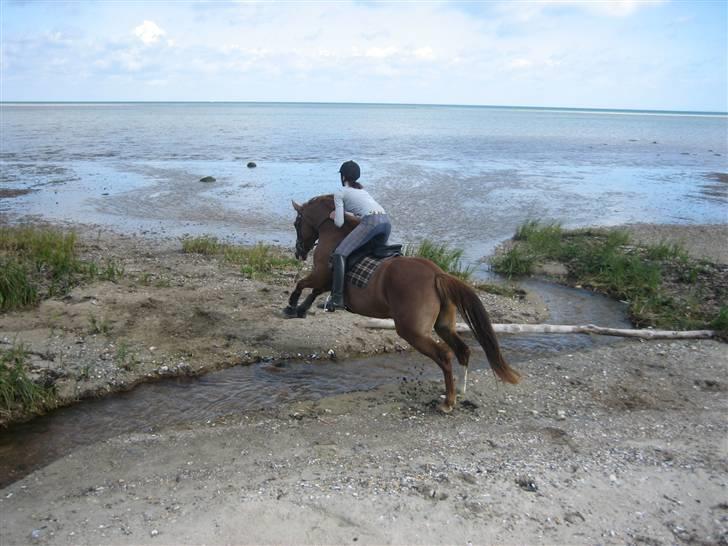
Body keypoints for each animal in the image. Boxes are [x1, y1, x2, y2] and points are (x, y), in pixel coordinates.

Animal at [282, 193, 516, 410]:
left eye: (296, 224)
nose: (298, 252)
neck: (334, 232)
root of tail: (437, 274)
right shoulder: (326, 281)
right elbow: (313, 292)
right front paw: (301, 309)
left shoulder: (321, 275)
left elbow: (302, 284)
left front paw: (291, 306)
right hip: (443, 325)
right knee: (463, 350)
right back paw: (460, 390)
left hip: (411, 330)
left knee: (445, 356)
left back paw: (448, 402)